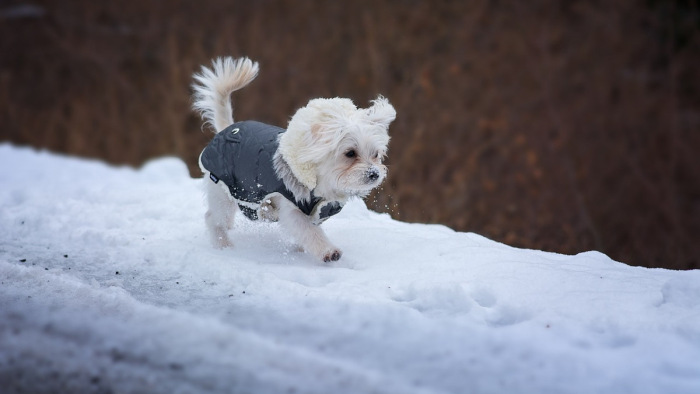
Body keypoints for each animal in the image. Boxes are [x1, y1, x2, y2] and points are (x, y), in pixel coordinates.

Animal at [191, 57, 396, 262]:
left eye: (376, 154)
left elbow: (306, 233)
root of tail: (226, 129)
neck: (321, 183)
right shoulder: (292, 209)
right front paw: (328, 251)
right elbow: (309, 231)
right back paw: (223, 245)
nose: (374, 174)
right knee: (213, 219)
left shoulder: (317, 212)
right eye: (350, 153)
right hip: (222, 191)